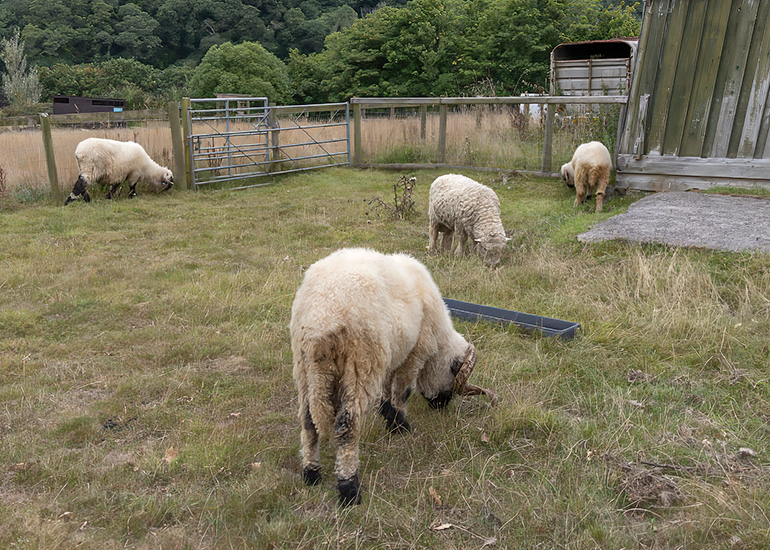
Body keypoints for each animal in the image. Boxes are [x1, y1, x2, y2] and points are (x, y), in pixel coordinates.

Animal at [290, 248, 489, 506]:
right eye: (452, 381)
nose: (441, 406)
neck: (438, 340)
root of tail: (320, 320)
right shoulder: (415, 353)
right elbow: (402, 390)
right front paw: (400, 424)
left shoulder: (393, 352)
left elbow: (388, 385)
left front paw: (387, 412)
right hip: (360, 365)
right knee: (347, 426)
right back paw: (349, 488)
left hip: (306, 370)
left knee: (308, 421)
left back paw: (311, 473)